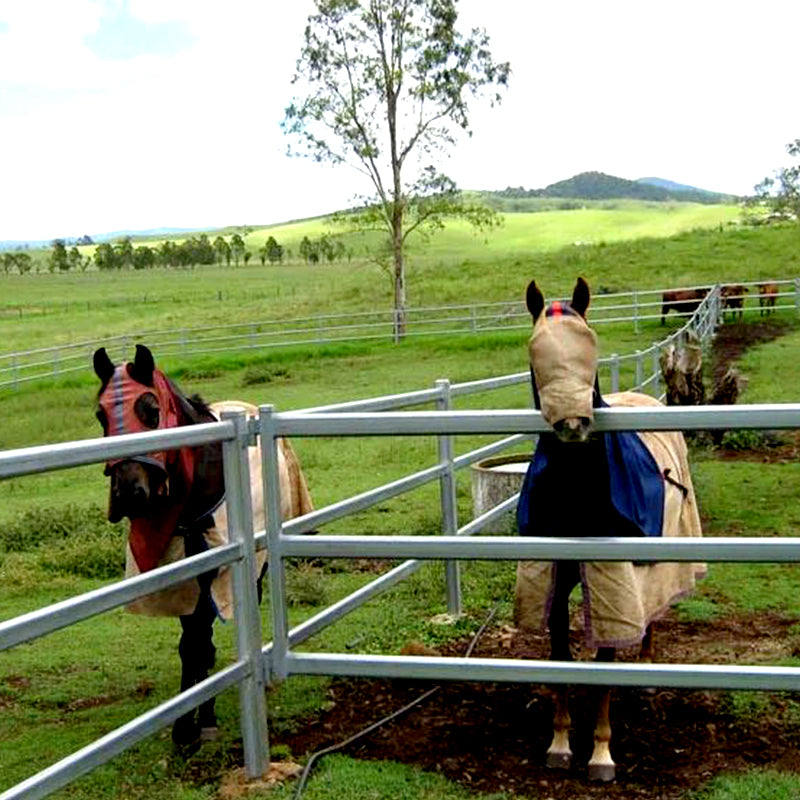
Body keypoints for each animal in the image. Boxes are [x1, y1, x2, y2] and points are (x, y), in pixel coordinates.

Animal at [94, 346, 316, 752]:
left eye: (151, 410)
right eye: (101, 415)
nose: (129, 492)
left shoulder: (215, 571)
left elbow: (198, 642)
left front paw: (194, 725)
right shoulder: (183, 577)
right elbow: (192, 643)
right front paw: (191, 720)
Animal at [516, 280, 704, 780]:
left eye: (590, 347)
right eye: (535, 352)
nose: (573, 425)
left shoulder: (613, 575)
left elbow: (603, 668)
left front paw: (601, 753)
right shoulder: (556, 576)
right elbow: (561, 658)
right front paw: (560, 745)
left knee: (653, 614)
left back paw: (646, 674)